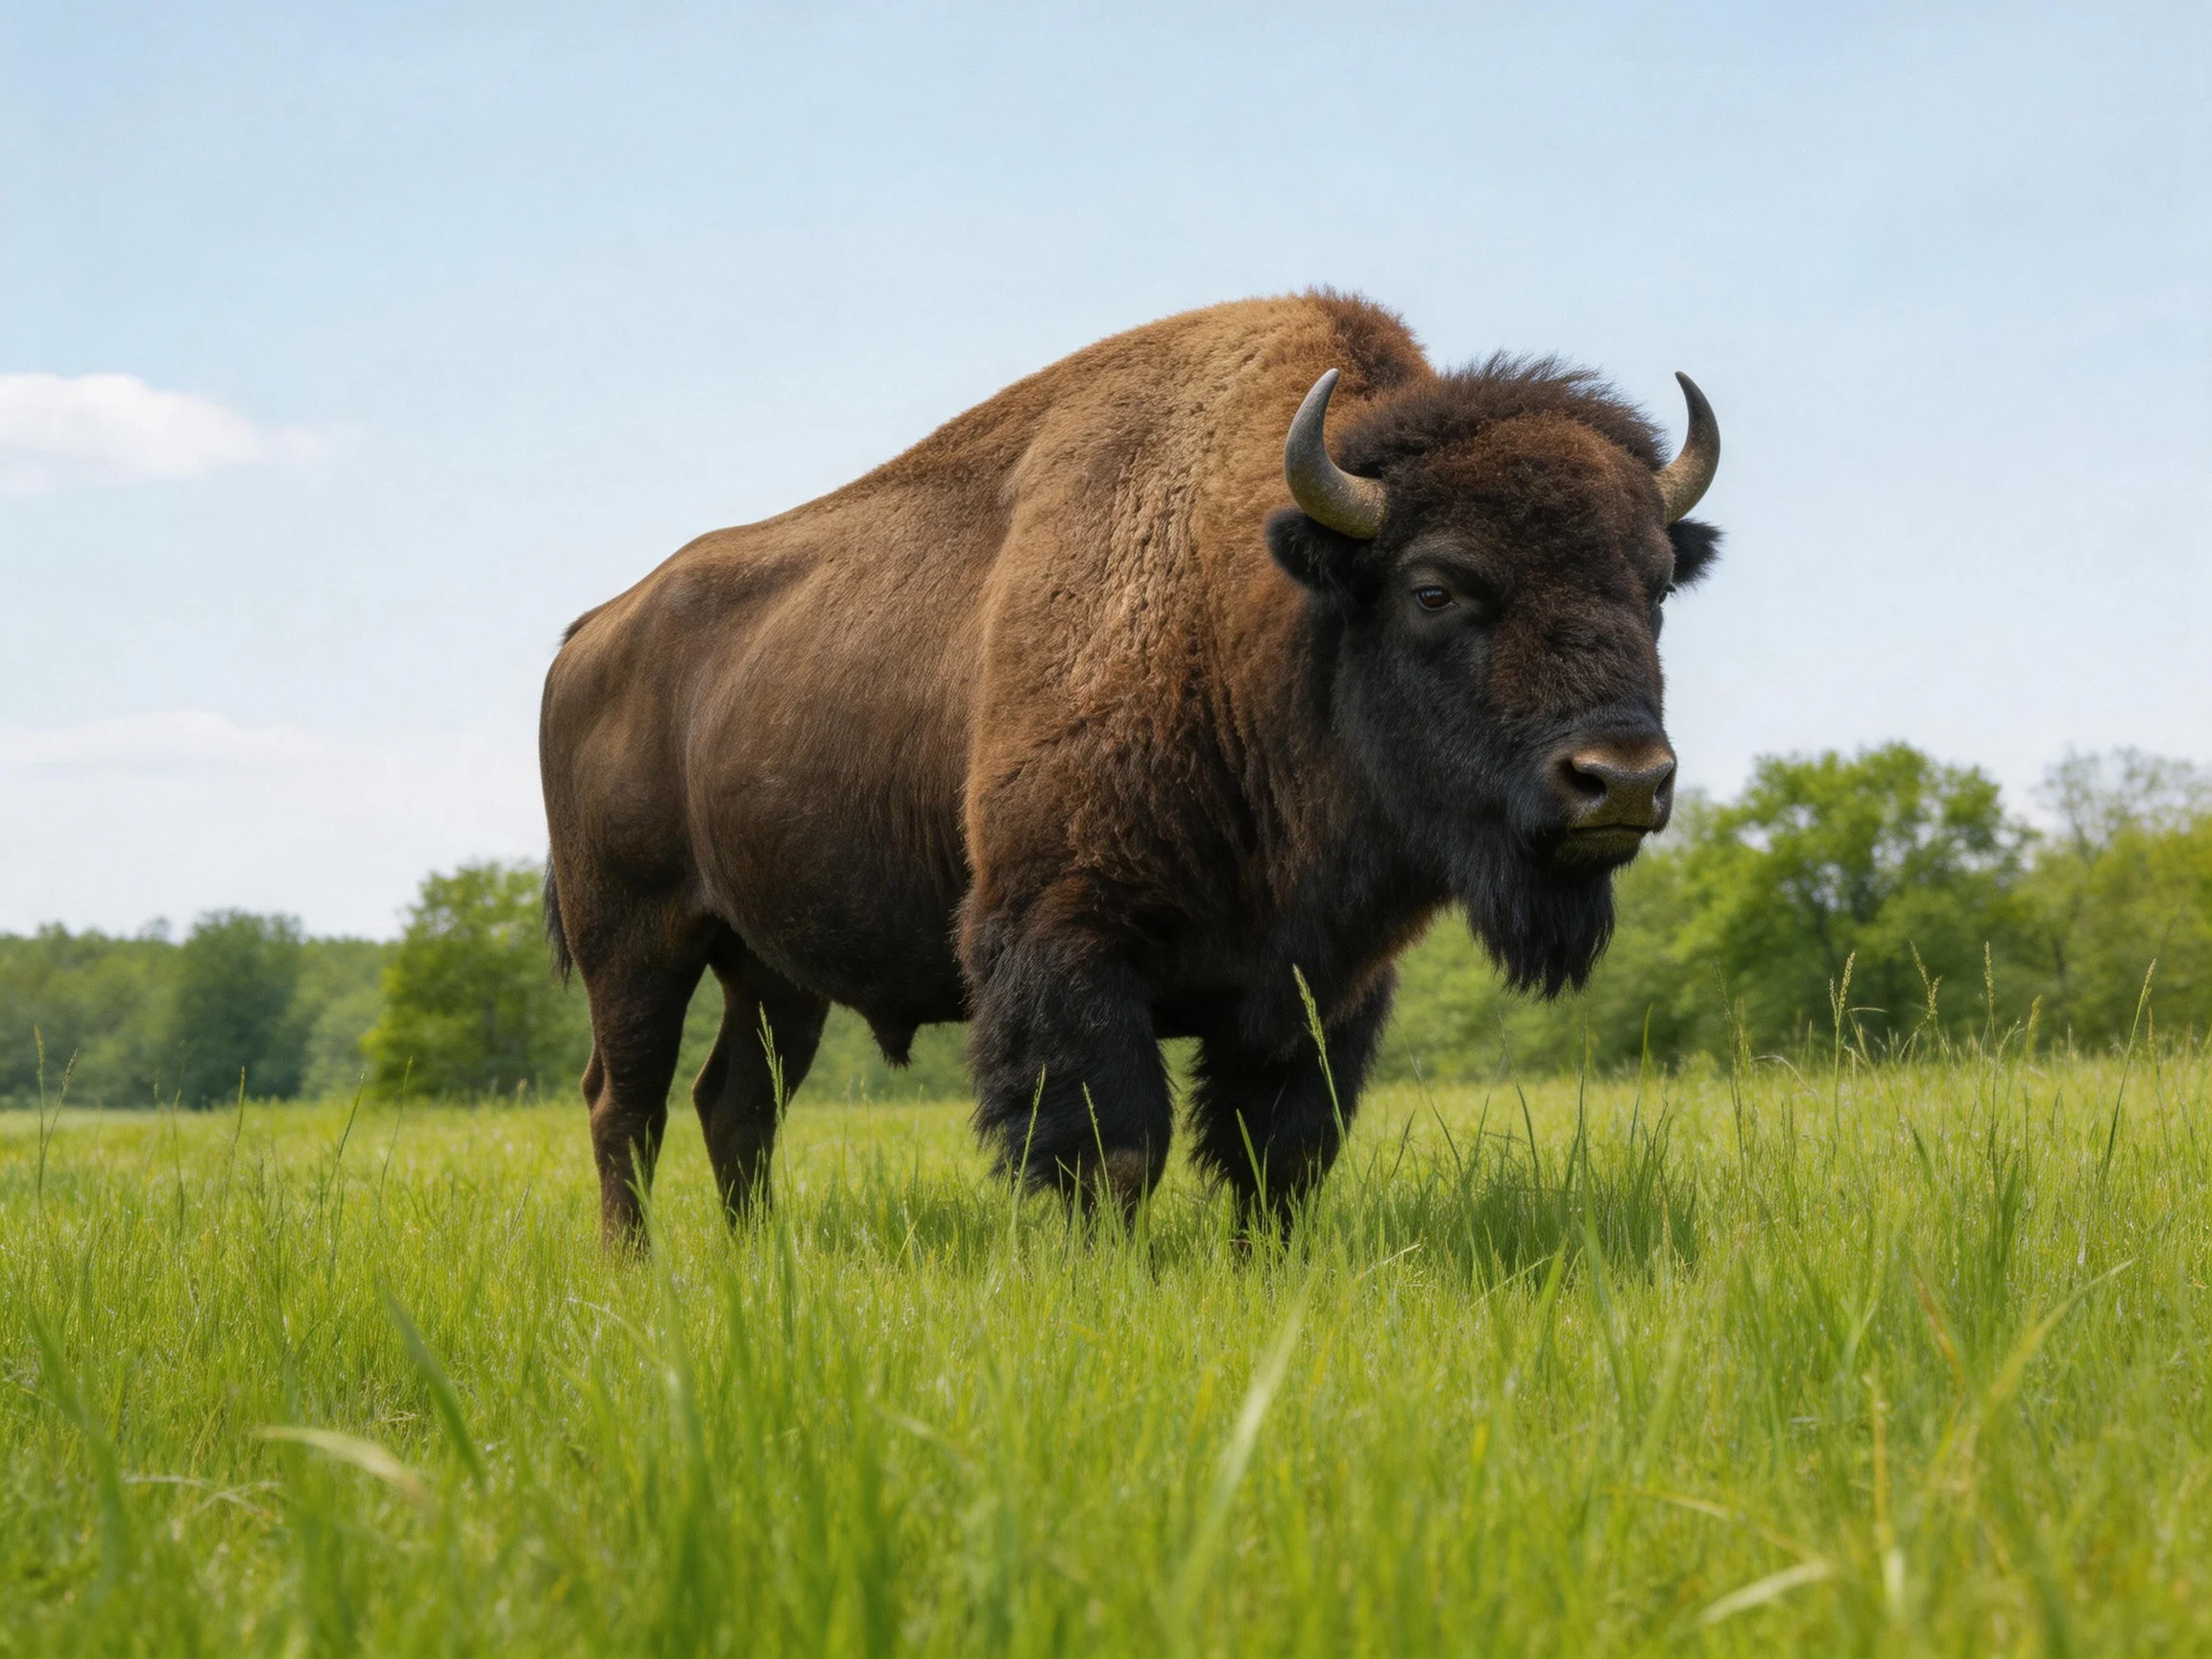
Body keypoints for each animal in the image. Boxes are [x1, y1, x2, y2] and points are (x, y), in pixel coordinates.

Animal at [540, 292, 1721, 1243]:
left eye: (1655, 586)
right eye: (1434, 588)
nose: (1621, 779)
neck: (1257, 604)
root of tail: (594, 630)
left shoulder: (1323, 984)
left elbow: (1279, 1159)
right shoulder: (1067, 940)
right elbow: (1113, 1151)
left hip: (771, 964)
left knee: (735, 1103)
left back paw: (756, 1260)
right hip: (635, 937)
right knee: (625, 1101)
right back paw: (634, 1266)